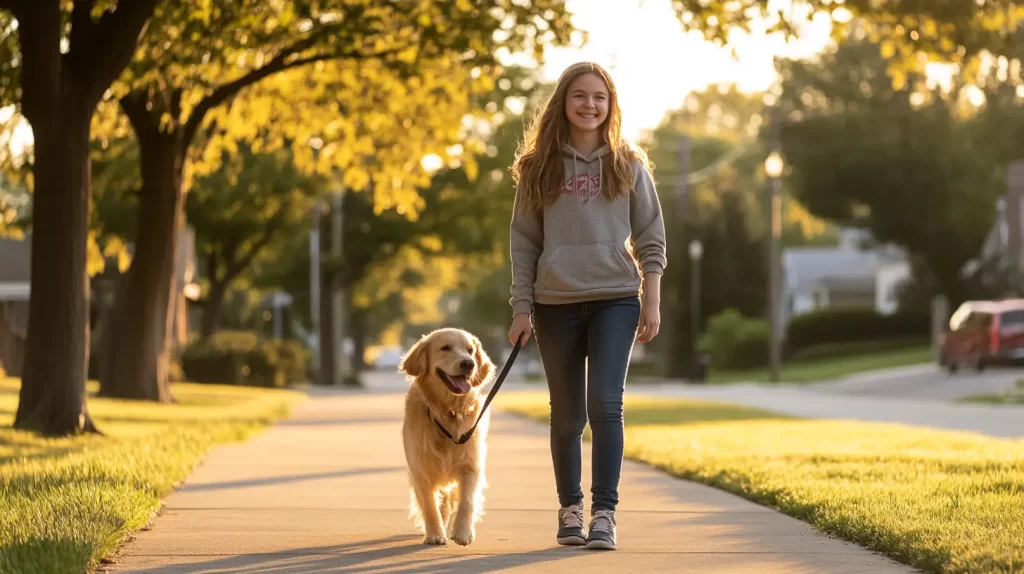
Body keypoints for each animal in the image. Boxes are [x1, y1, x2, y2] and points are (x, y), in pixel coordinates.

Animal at [397, 327, 497, 544]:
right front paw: (435, 533)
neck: (449, 412)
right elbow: (429, 504)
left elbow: (467, 500)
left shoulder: (471, 465)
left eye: (470, 350)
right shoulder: (420, 470)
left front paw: (462, 532)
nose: (468, 363)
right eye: (445, 348)